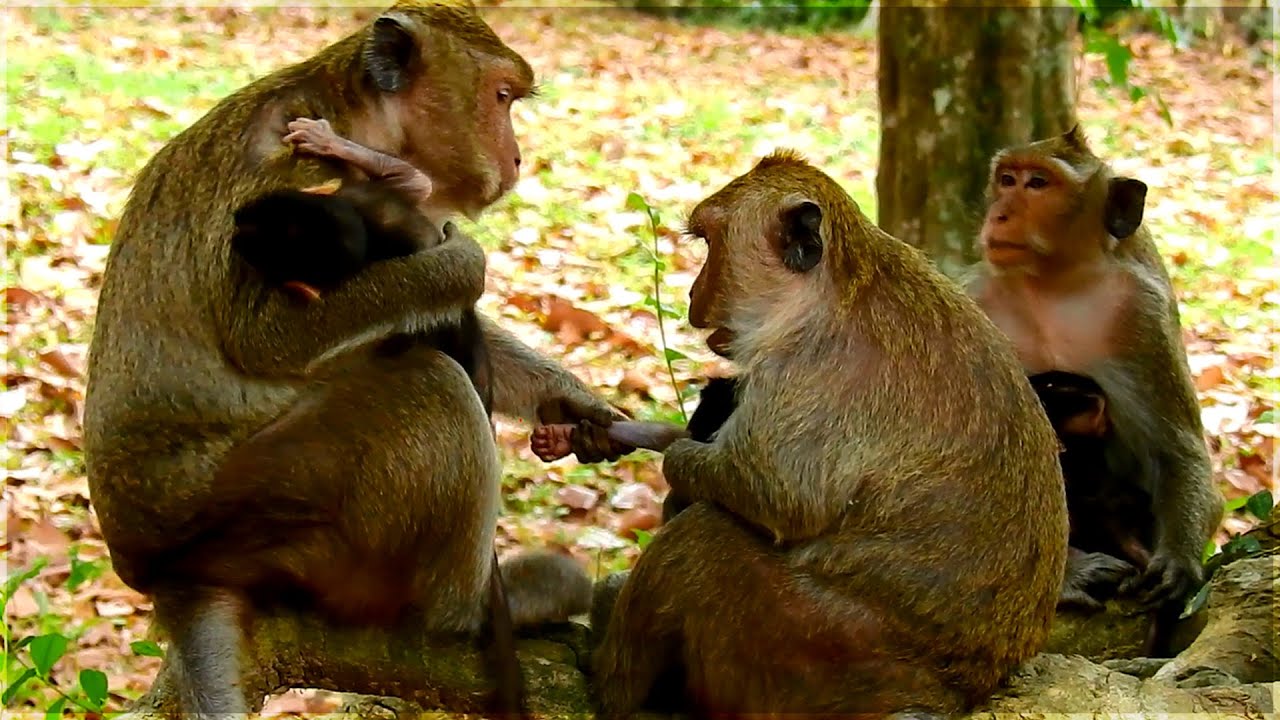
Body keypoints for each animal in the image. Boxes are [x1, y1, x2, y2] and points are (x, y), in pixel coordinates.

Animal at [82, 3, 625, 717]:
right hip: (276, 514)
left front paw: (578, 406)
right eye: (502, 97)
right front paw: (464, 261)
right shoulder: (292, 180)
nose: (515, 156)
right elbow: (266, 337)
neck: (359, 116)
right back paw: (470, 613)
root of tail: (164, 573)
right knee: (429, 386)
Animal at [587, 150, 1069, 719]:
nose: (692, 293)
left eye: (709, 244)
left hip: (816, 648)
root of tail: (953, 691)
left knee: (705, 535)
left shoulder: (801, 365)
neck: (838, 284)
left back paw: (612, 688)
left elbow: (780, 496)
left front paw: (679, 458)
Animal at [962, 125, 1223, 656]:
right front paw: (1071, 575)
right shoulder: (972, 301)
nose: (1000, 213)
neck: (1052, 286)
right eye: (1006, 179)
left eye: (1038, 184)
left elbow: (1177, 448)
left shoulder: (1142, 314)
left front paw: (1178, 562)